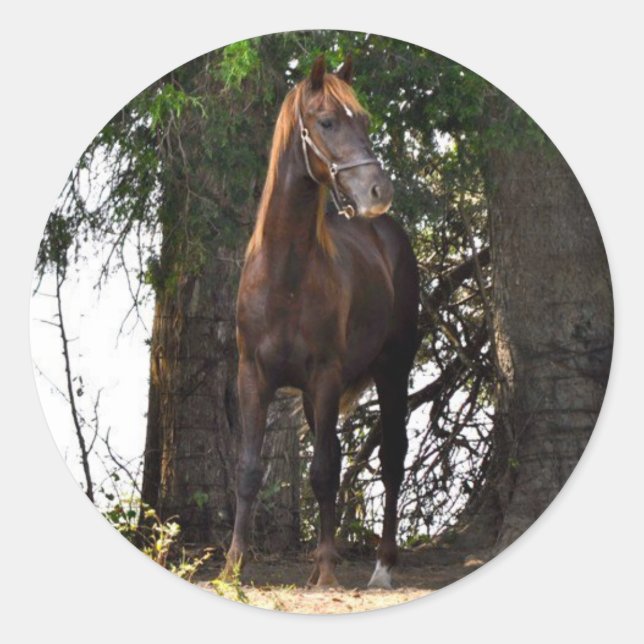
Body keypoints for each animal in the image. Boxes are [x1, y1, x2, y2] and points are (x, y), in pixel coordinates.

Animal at [222, 54, 419, 589]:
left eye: (365, 121)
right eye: (327, 122)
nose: (378, 191)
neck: (285, 275)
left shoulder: (327, 376)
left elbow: (324, 471)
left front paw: (327, 569)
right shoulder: (253, 377)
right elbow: (249, 470)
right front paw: (233, 565)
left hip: (392, 371)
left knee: (391, 459)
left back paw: (381, 566)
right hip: (314, 398)